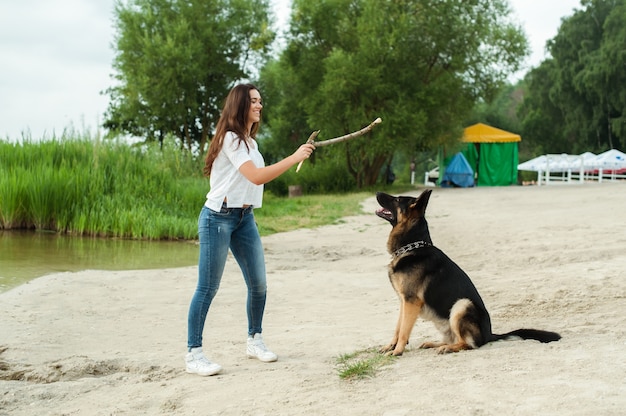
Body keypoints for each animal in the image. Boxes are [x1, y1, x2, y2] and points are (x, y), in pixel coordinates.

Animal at [372, 190, 560, 356]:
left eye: (397, 199)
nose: (377, 192)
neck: (412, 247)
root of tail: (489, 335)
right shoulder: (404, 302)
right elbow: (398, 328)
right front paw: (391, 346)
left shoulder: (411, 302)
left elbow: (404, 330)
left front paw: (397, 351)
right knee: (454, 339)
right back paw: (436, 344)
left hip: (462, 305)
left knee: (469, 344)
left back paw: (448, 348)